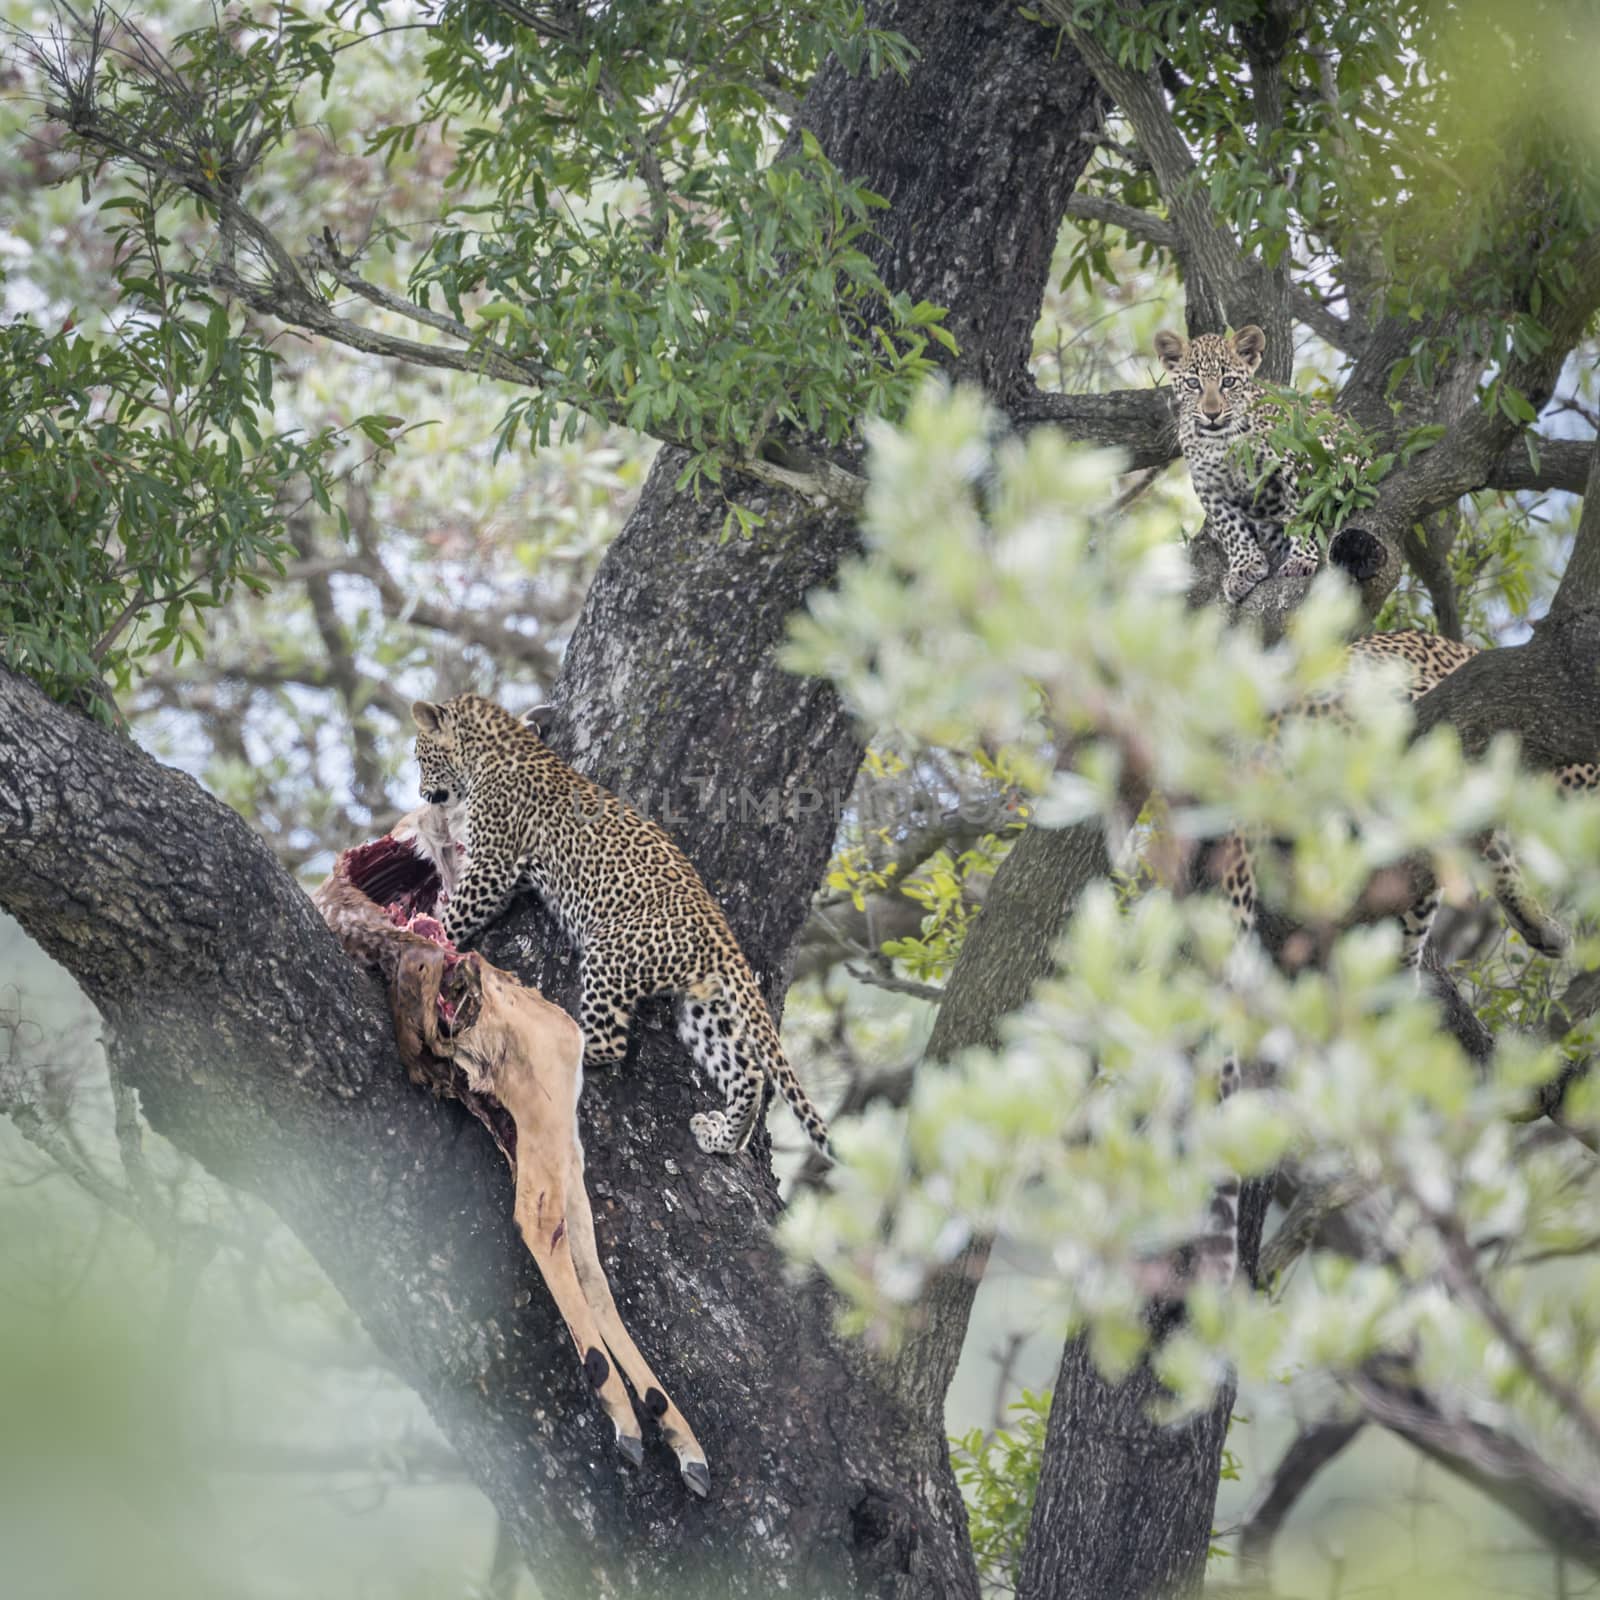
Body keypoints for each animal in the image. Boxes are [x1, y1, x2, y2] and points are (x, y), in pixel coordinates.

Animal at [409, 694, 838, 1158]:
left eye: (420, 757)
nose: (422, 793)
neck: (491, 746)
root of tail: (721, 935)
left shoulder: (494, 865)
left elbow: (458, 914)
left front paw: (423, 936)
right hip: (703, 1007)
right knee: (749, 1076)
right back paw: (720, 1136)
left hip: (611, 954)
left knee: (610, 1044)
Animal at [1158, 321, 1356, 601]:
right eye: (1193, 383)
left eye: (1228, 382)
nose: (1211, 414)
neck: (1220, 443)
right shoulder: (1207, 485)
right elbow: (1230, 528)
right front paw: (1245, 567)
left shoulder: (1294, 467)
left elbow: (1302, 514)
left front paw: (1300, 559)